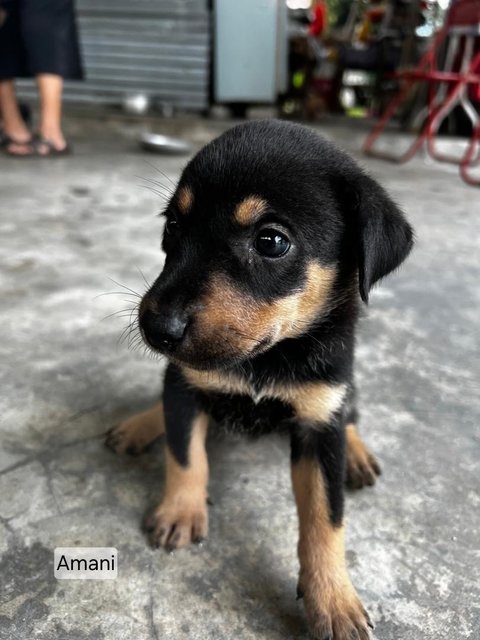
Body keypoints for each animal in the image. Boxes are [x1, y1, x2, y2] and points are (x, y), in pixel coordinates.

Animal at [105, 121, 412, 640]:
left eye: (271, 241)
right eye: (172, 226)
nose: (155, 327)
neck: (268, 357)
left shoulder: (318, 421)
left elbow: (325, 518)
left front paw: (334, 601)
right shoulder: (185, 385)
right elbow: (185, 456)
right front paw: (180, 511)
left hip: (344, 388)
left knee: (351, 412)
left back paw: (356, 454)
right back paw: (138, 425)